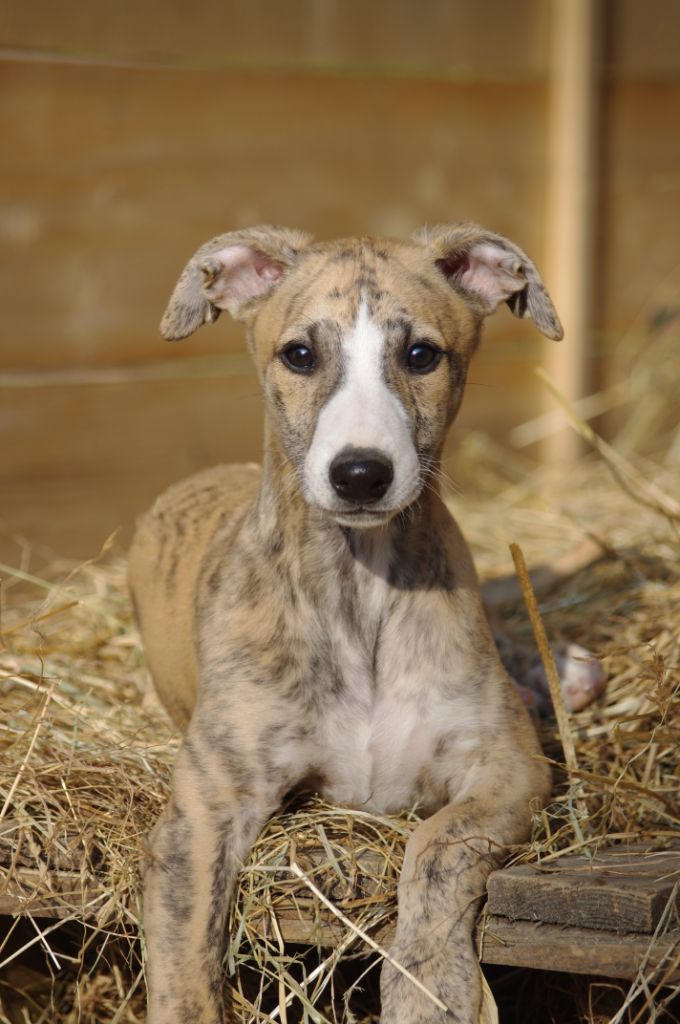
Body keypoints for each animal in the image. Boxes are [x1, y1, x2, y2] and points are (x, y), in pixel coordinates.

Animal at [131, 226, 569, 1024]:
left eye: (421, 353)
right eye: (300, 353)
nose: (360, 474)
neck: (360, 589)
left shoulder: (510, 767)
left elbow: (436, 845)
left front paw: (432, 989)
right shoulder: (201, 817)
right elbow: (185, 966)